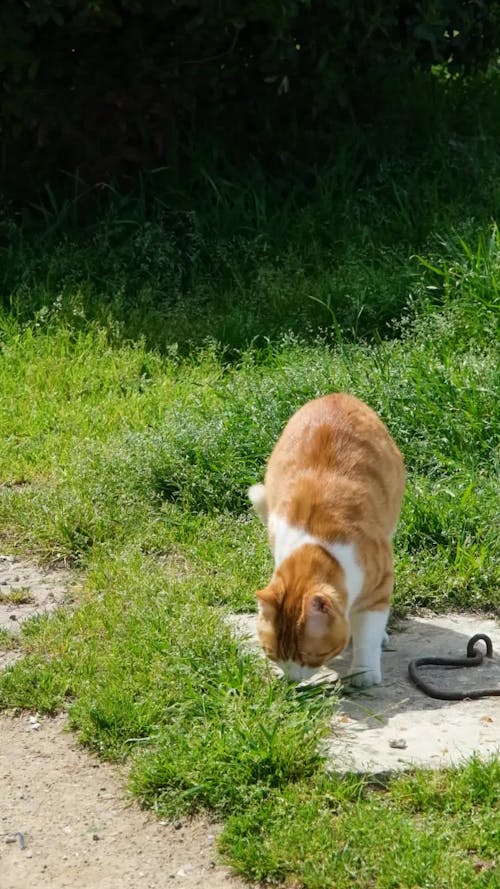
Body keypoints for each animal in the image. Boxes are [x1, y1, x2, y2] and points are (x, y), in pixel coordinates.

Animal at [248, 394, 404, 688]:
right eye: (273, 655)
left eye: (309, 657)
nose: (291, 680)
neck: (316, 543)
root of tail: (337, 394)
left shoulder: (379, 583)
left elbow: (368, 632)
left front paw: (364, 671)